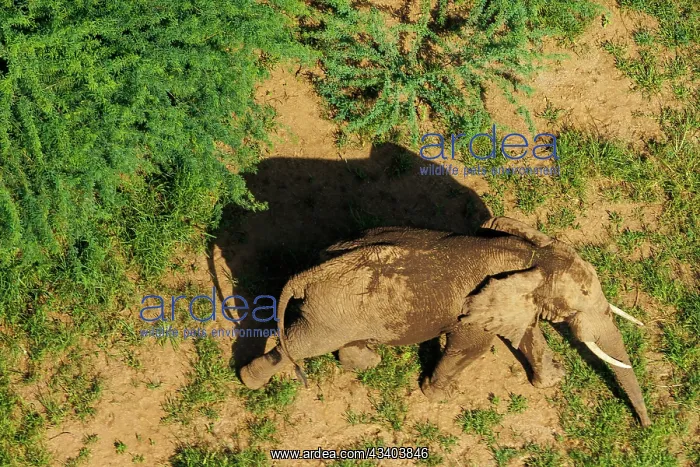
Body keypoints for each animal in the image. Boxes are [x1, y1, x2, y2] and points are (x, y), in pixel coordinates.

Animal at [239, 217, 651, 427]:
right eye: (581, 299)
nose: (643, 427)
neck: (531, 254)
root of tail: (306, 274)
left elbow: (526, 333)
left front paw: (553, 379)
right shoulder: (476, 307)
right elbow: (473, 346)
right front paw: (439, 396)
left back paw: (367, 359)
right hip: (328, 314)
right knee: (301, 344)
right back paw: (250, 380)